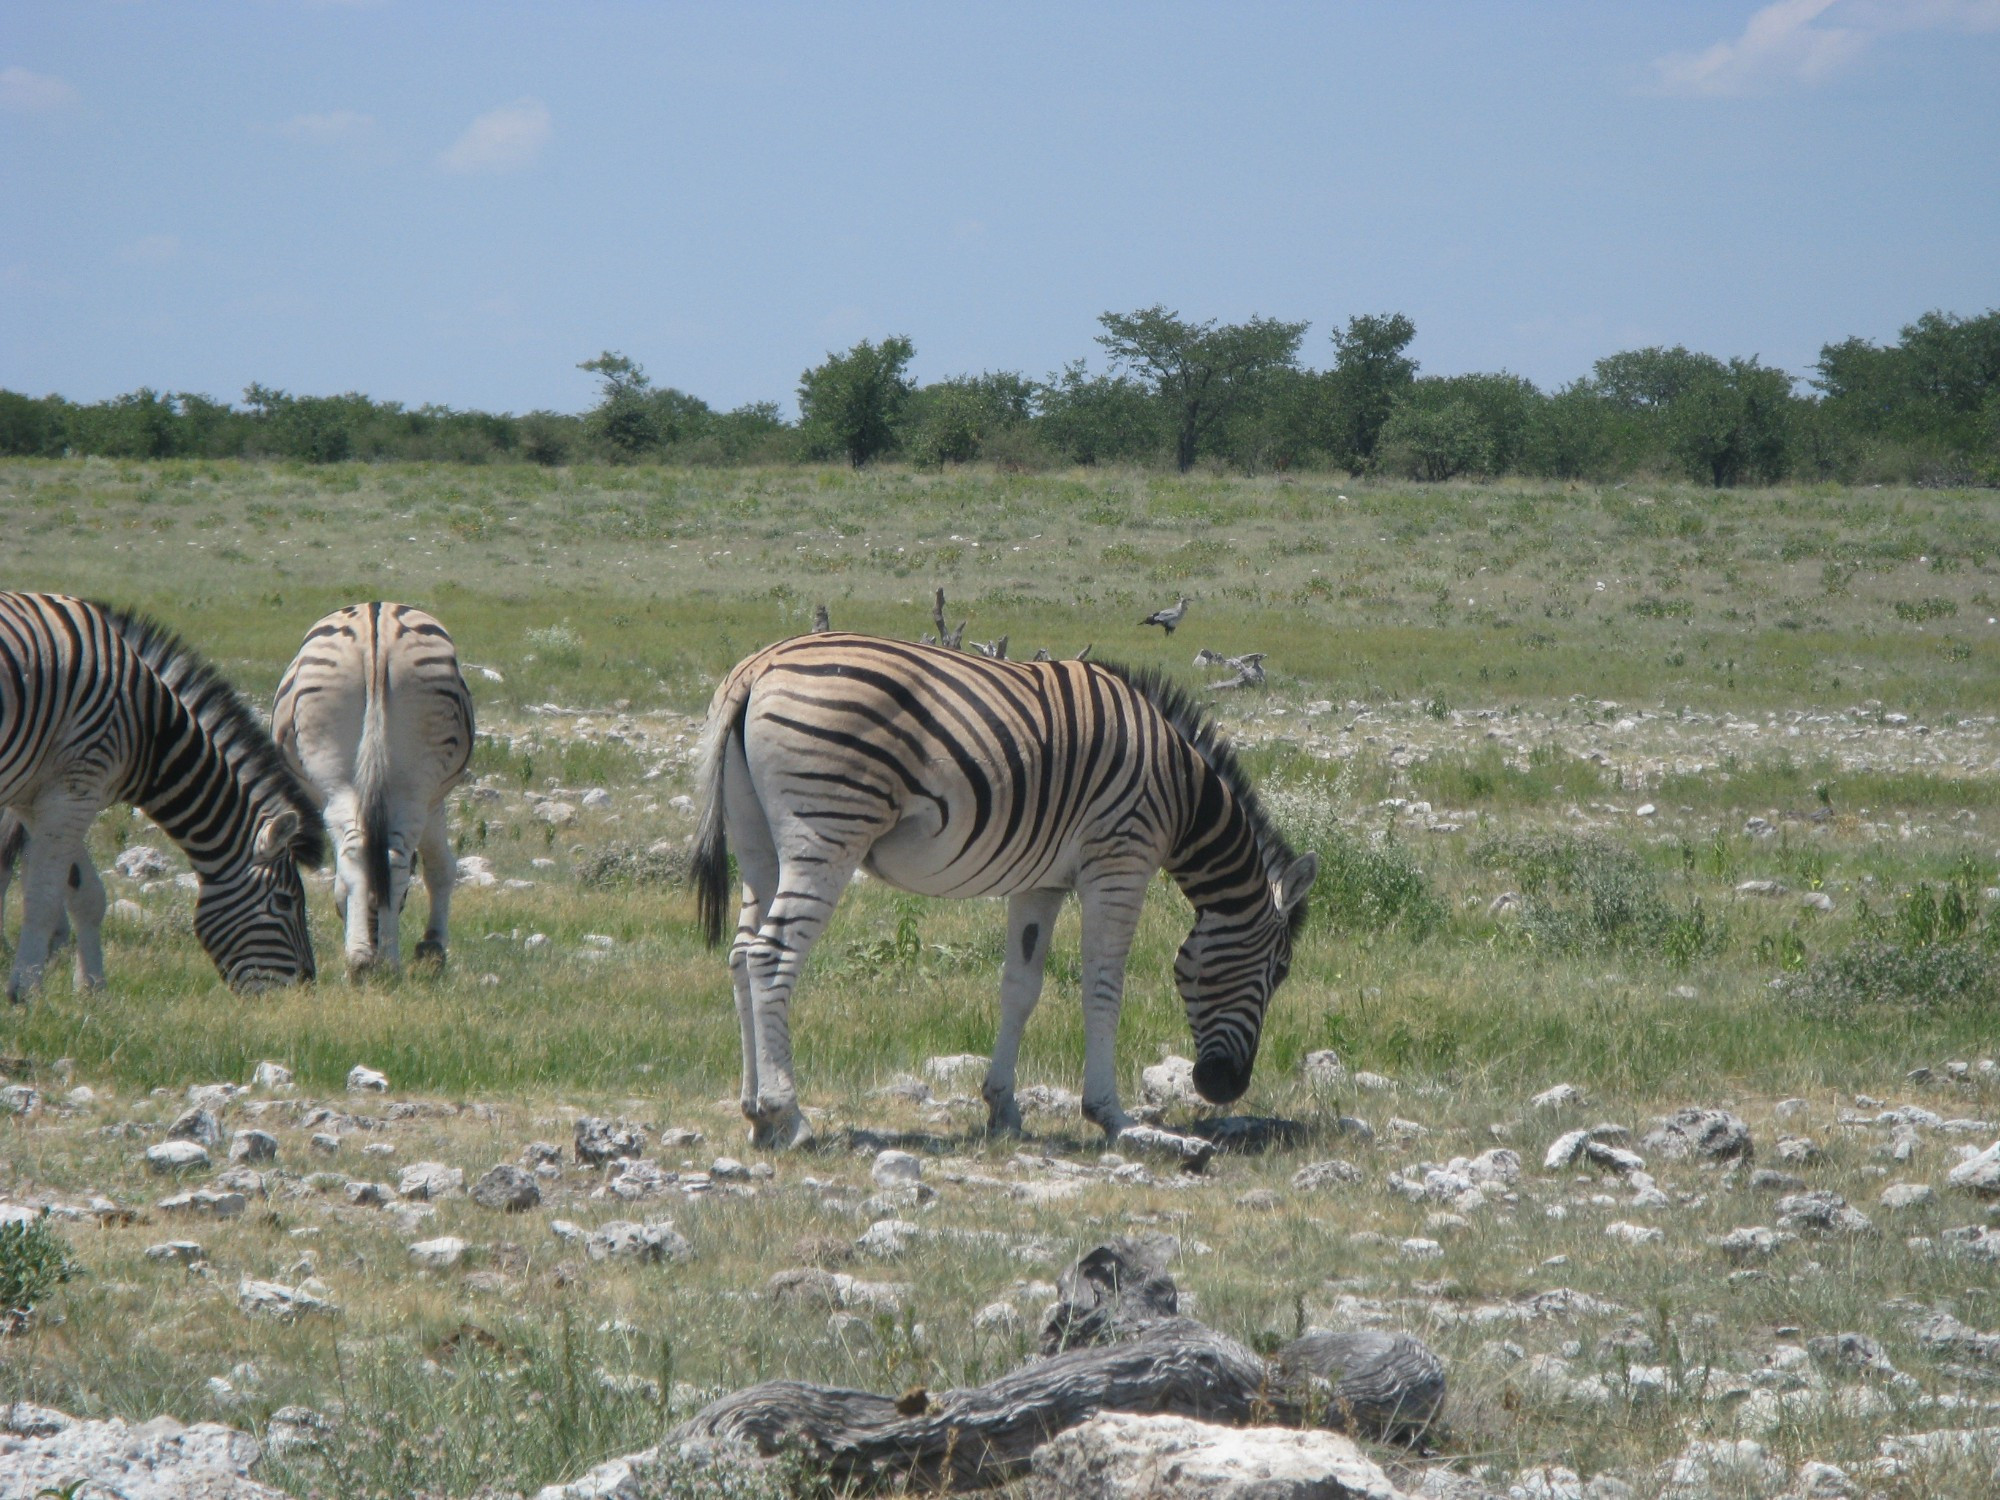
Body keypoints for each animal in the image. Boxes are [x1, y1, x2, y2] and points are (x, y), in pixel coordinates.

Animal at [0, 592, 320, 1004]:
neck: (150, 728)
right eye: (283, 901)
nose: (305, 989)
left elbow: (87, 894)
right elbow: (42, 896)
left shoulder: (48, 794)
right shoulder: (71, 791)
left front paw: (92, 989)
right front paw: (25, 993)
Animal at [270, 604, 472, 980]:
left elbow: (436, 866)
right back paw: (381, 960)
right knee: (388, 858)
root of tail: (376, 622)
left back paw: (364, 959)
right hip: (411, 783)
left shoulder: (429, 799)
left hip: (340, 776)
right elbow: (438, 866)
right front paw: (431, 948)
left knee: (360, 856)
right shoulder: (430, 800)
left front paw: (430, 948)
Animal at [696, 632, 1320, 1152]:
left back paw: (755, 1113)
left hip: (758, 843)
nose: (1224, 1088)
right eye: (1280, 970)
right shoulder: (1120, 861)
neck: (1183, 793)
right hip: (828, 829)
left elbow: (1020, 987)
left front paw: (1003, 1108)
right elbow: (1104, 987)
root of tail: (758, 665)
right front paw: (1112, 1116)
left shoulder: (1041, 881)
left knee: (741, 955)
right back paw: (790, 1114)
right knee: (772, 957)